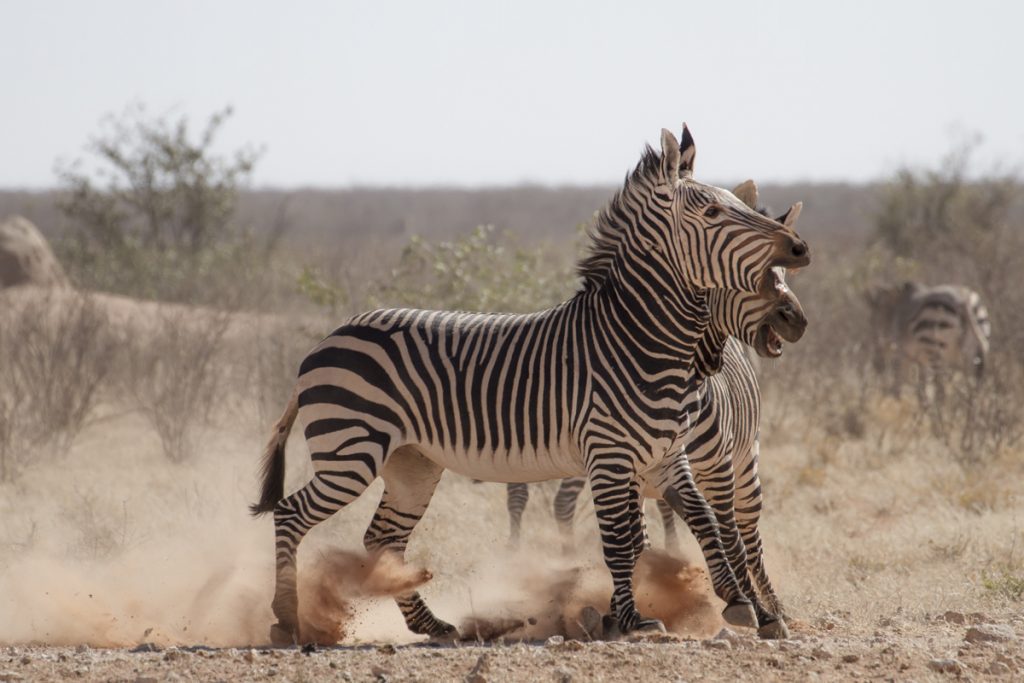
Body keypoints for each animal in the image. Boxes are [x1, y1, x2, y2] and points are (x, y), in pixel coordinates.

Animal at [247, 125, 806, 643]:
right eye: (711, 212)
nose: (799, 249)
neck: (637, 339)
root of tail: (329, 337)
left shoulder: (666, 458)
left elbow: (701, 520)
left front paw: (736, 602)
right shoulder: (609, 456)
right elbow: (621, 541)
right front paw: (630, 620)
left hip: (412, 464)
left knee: (382, 539)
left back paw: (432, 624)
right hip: (351, 451)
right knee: (292, 514)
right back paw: (287, 620)